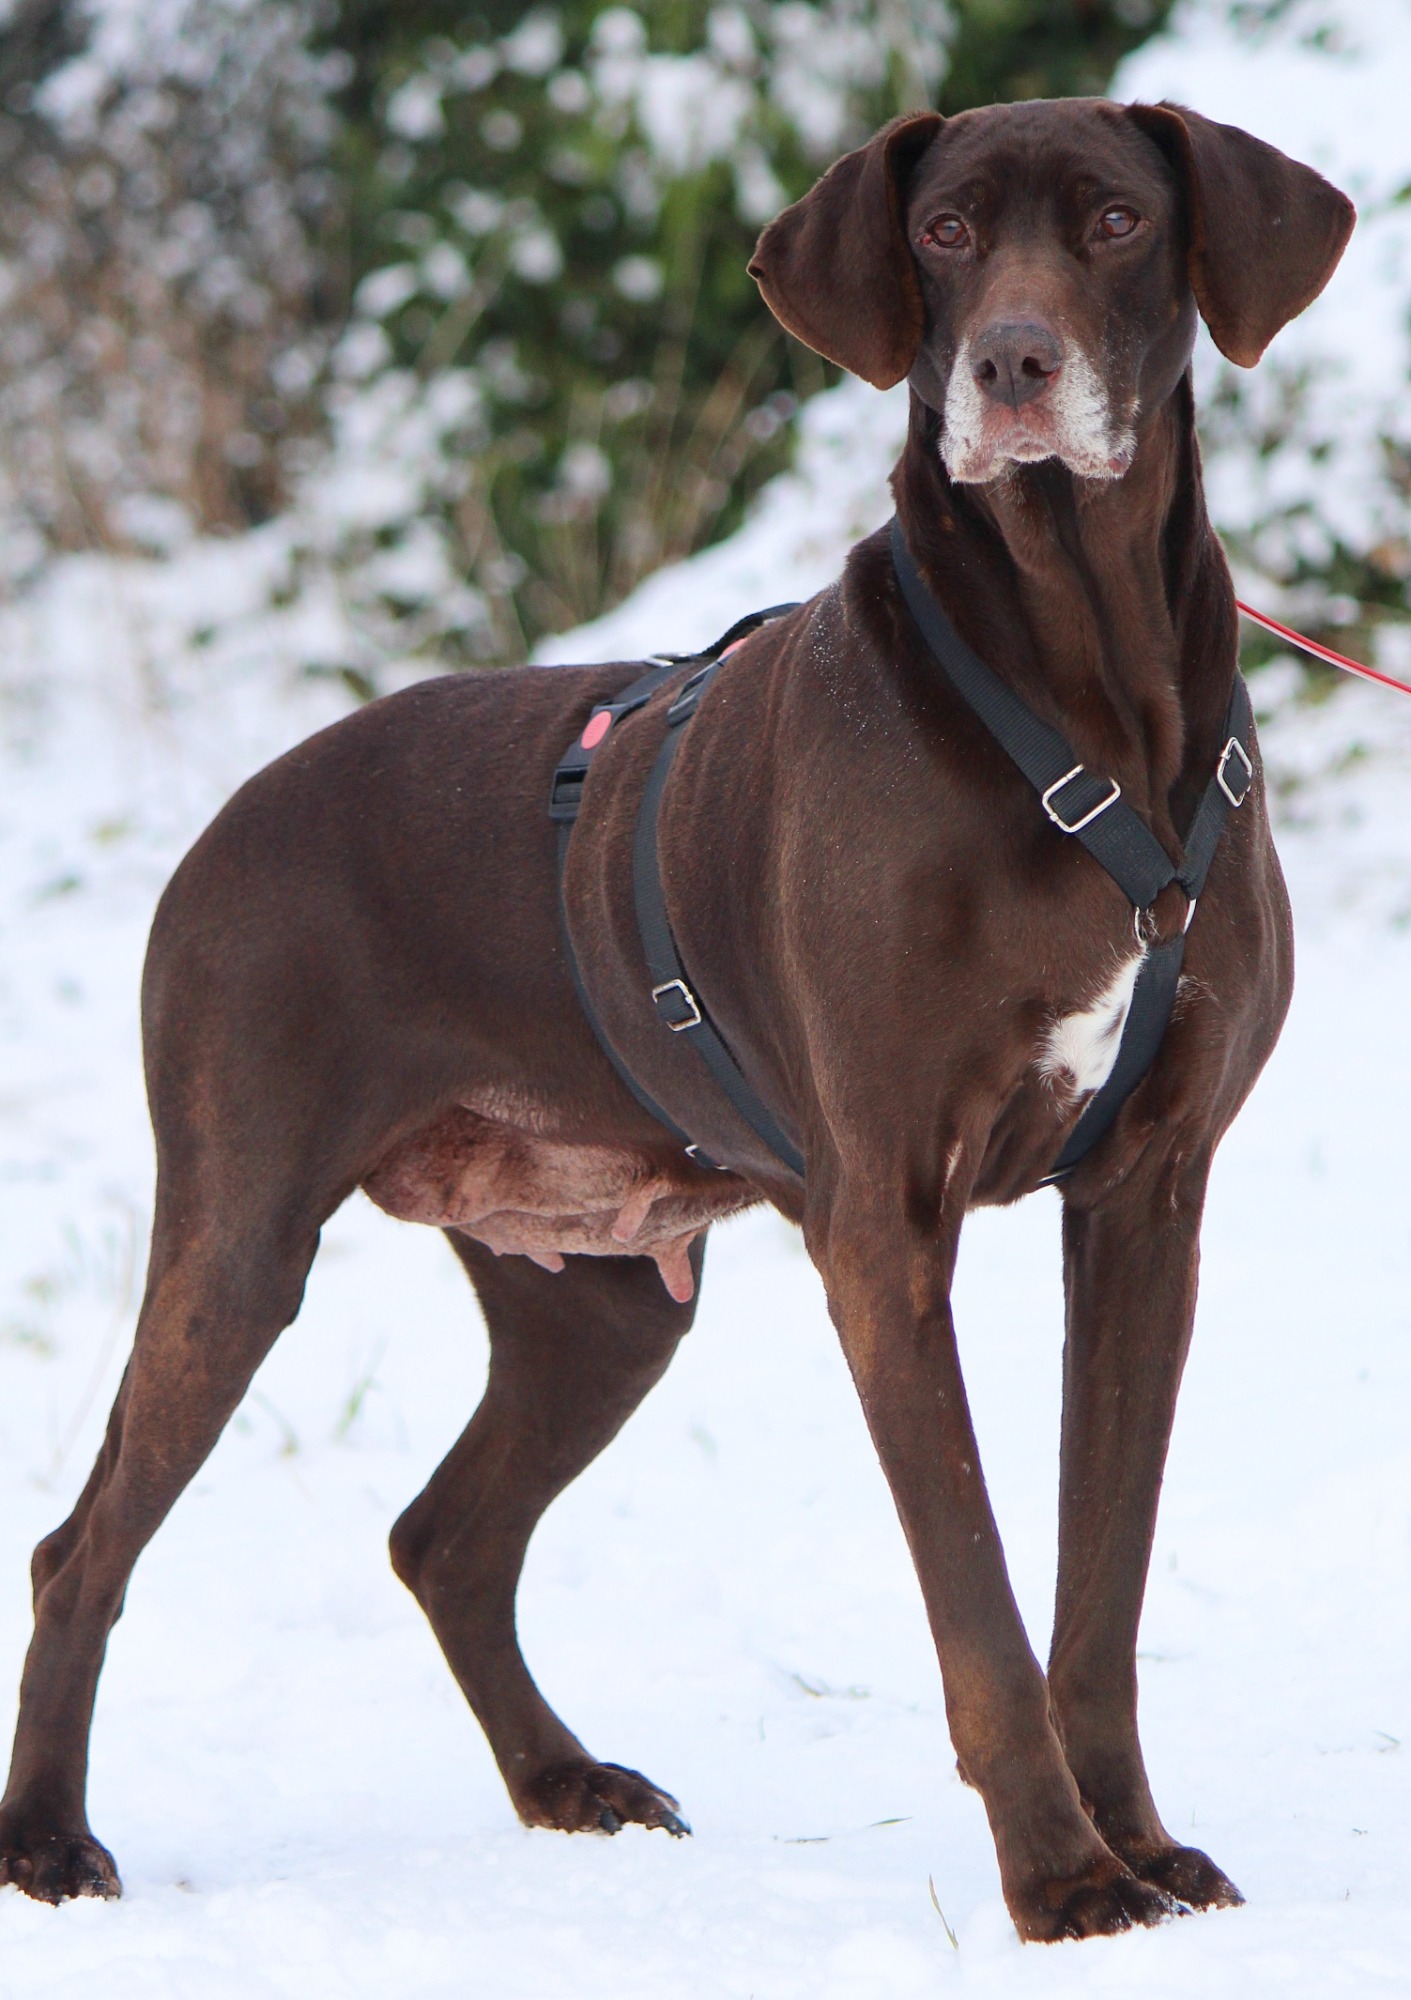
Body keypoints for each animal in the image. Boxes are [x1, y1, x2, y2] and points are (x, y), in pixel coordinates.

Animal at [0, 98, 1352, 1941]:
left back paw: (565, 1785)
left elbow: (1097, 1593)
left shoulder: (1145, 1204)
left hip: (593, 1307)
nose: (1008, 363)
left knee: (446, 1537)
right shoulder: (882, 1225)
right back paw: (47, 1845)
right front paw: (1063, 1880)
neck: (1082, 692)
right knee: (86, 1546)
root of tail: (228, 819)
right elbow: (980, 1604)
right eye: (943, 232)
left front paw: (1137, 1850)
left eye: (1117, 220)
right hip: (239, 1235)